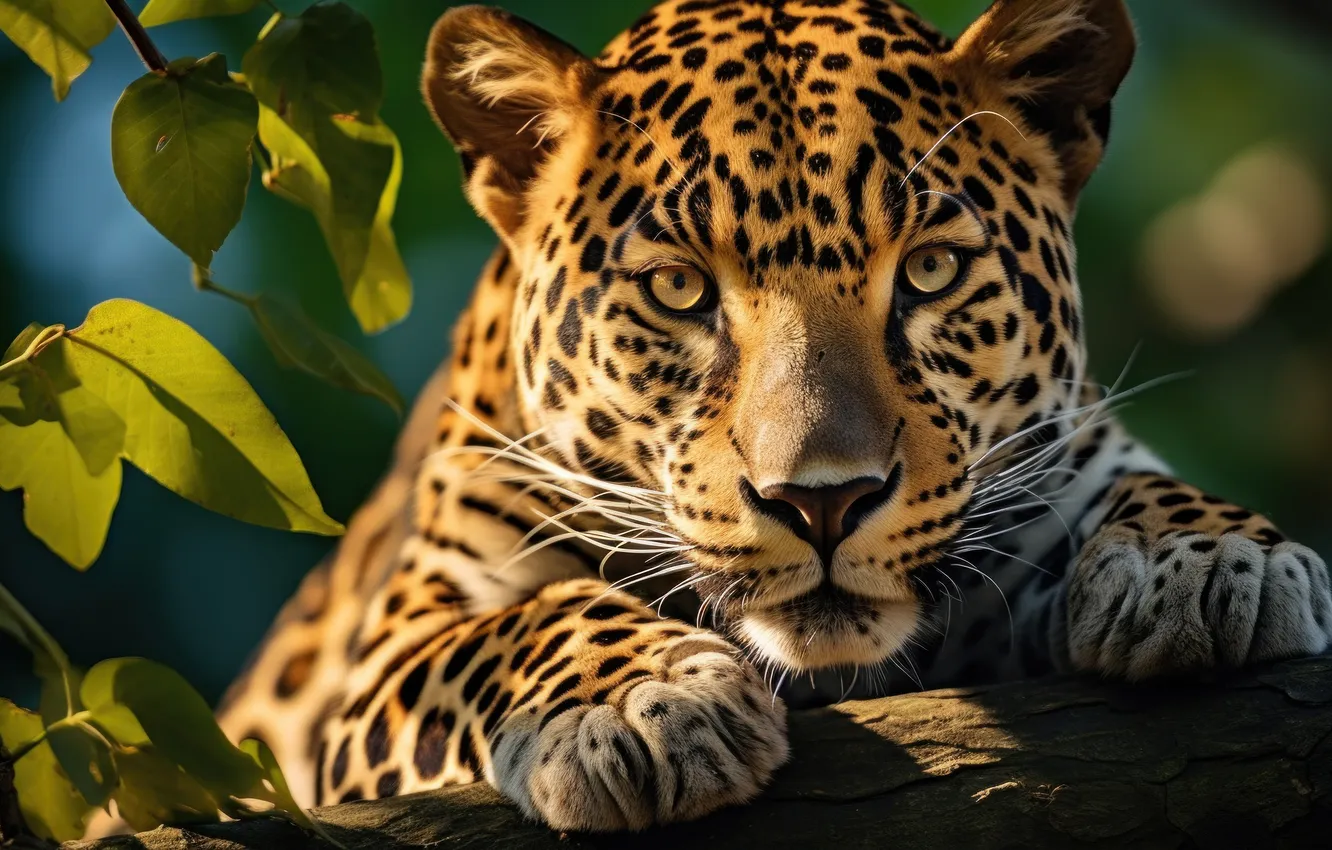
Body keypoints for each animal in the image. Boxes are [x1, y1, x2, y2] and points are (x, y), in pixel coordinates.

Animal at [209, 0, 1331, 833]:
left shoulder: (1052, 468)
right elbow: (519, 621)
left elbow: (1129, 479)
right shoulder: (392, 646)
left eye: (929, 270)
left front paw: (1208, 561)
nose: (822, 502)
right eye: (677, 289)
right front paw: (636, 704)